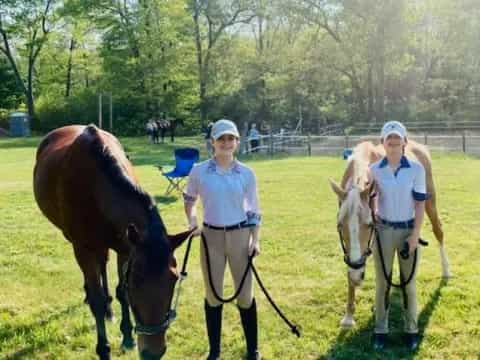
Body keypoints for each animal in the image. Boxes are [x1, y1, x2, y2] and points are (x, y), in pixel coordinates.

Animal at [32, 124, 195, 360]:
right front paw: (104, 348)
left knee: (102, 265)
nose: (153, 352)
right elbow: (98, 300)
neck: (95, 185)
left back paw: (109, 311)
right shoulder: (84, 247)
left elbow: (121, 293)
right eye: (136, 281)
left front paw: (127, 336)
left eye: (174, 279)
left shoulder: (126, 249)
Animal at [330, 140, 450, 330]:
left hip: (429, 201)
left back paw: (445, 270)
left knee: (439, 231)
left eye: (369, 224)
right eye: (340, 226)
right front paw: (348, 316)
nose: (358, 277)